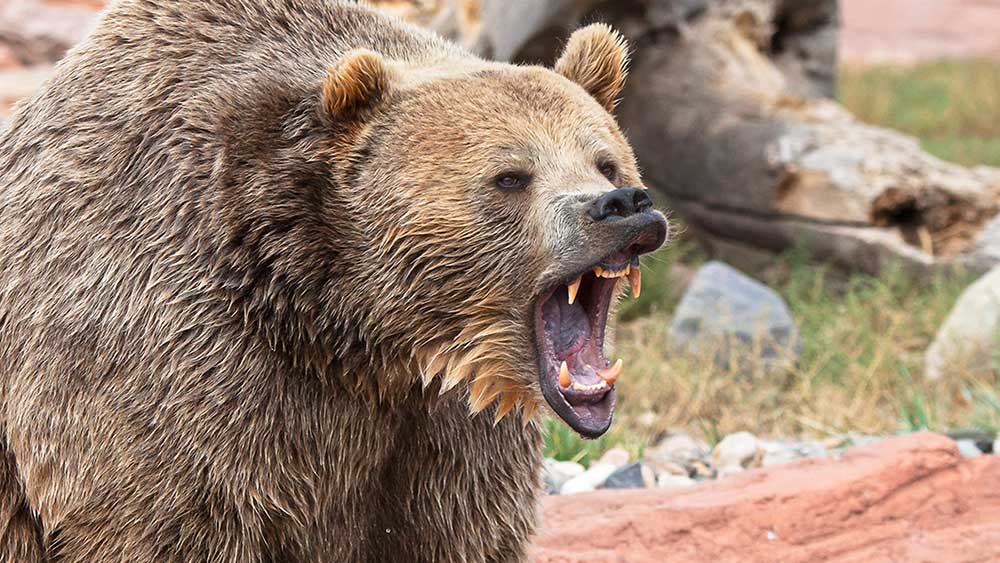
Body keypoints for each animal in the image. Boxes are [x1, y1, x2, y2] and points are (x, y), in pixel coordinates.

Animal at [1, 2, 672, 560]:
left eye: (605, 161)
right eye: (510, 176)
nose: (621, 205)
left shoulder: (448, 433)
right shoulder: (177, 366)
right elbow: (166, 513)